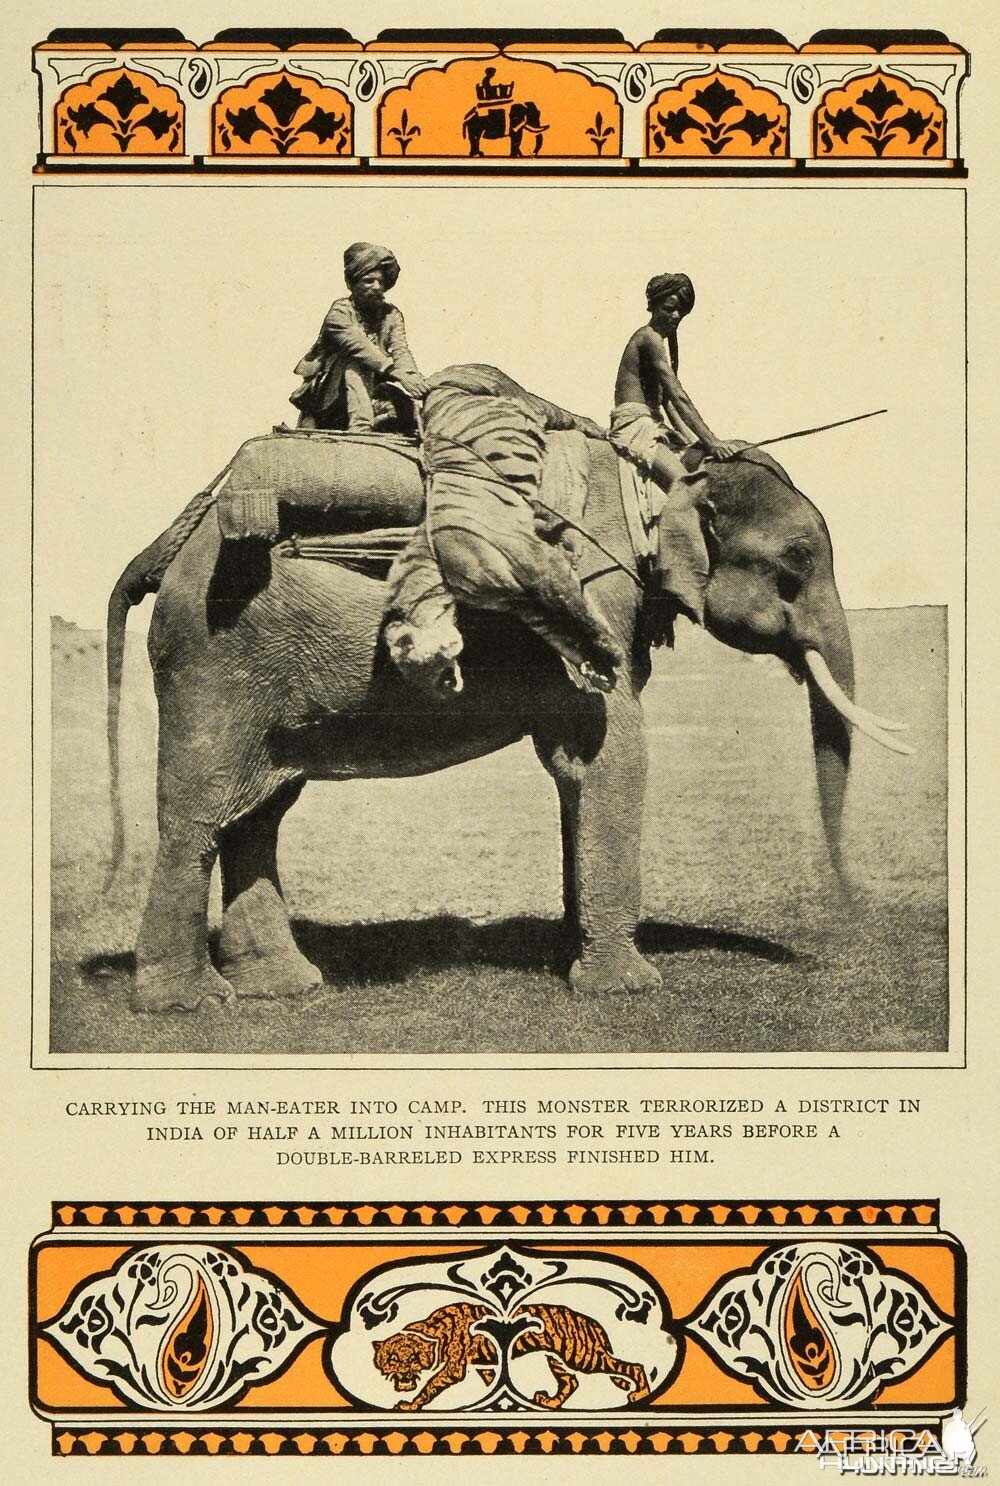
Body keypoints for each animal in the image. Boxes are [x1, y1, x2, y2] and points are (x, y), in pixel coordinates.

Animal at [106, 395, 903, 1022]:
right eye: (796, 561)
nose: (849, 909)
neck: (661, 476)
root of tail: (163, 552)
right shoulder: (595, 595)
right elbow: (613, 756)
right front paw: (628, 989)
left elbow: (577, 770)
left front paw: (572, 958)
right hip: (214, 660)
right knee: (201, 816)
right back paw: (190, 1004)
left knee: (260, 812)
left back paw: (284, 986)